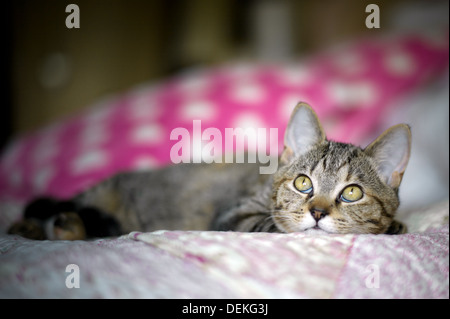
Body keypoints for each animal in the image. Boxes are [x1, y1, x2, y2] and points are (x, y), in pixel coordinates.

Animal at [9, 103, 412, 240]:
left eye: (352, 192)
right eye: (303, 183)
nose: (317, 212)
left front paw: (392, 225)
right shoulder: (234, 216)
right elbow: (276, 226)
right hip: (96, 193)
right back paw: (40, 226)